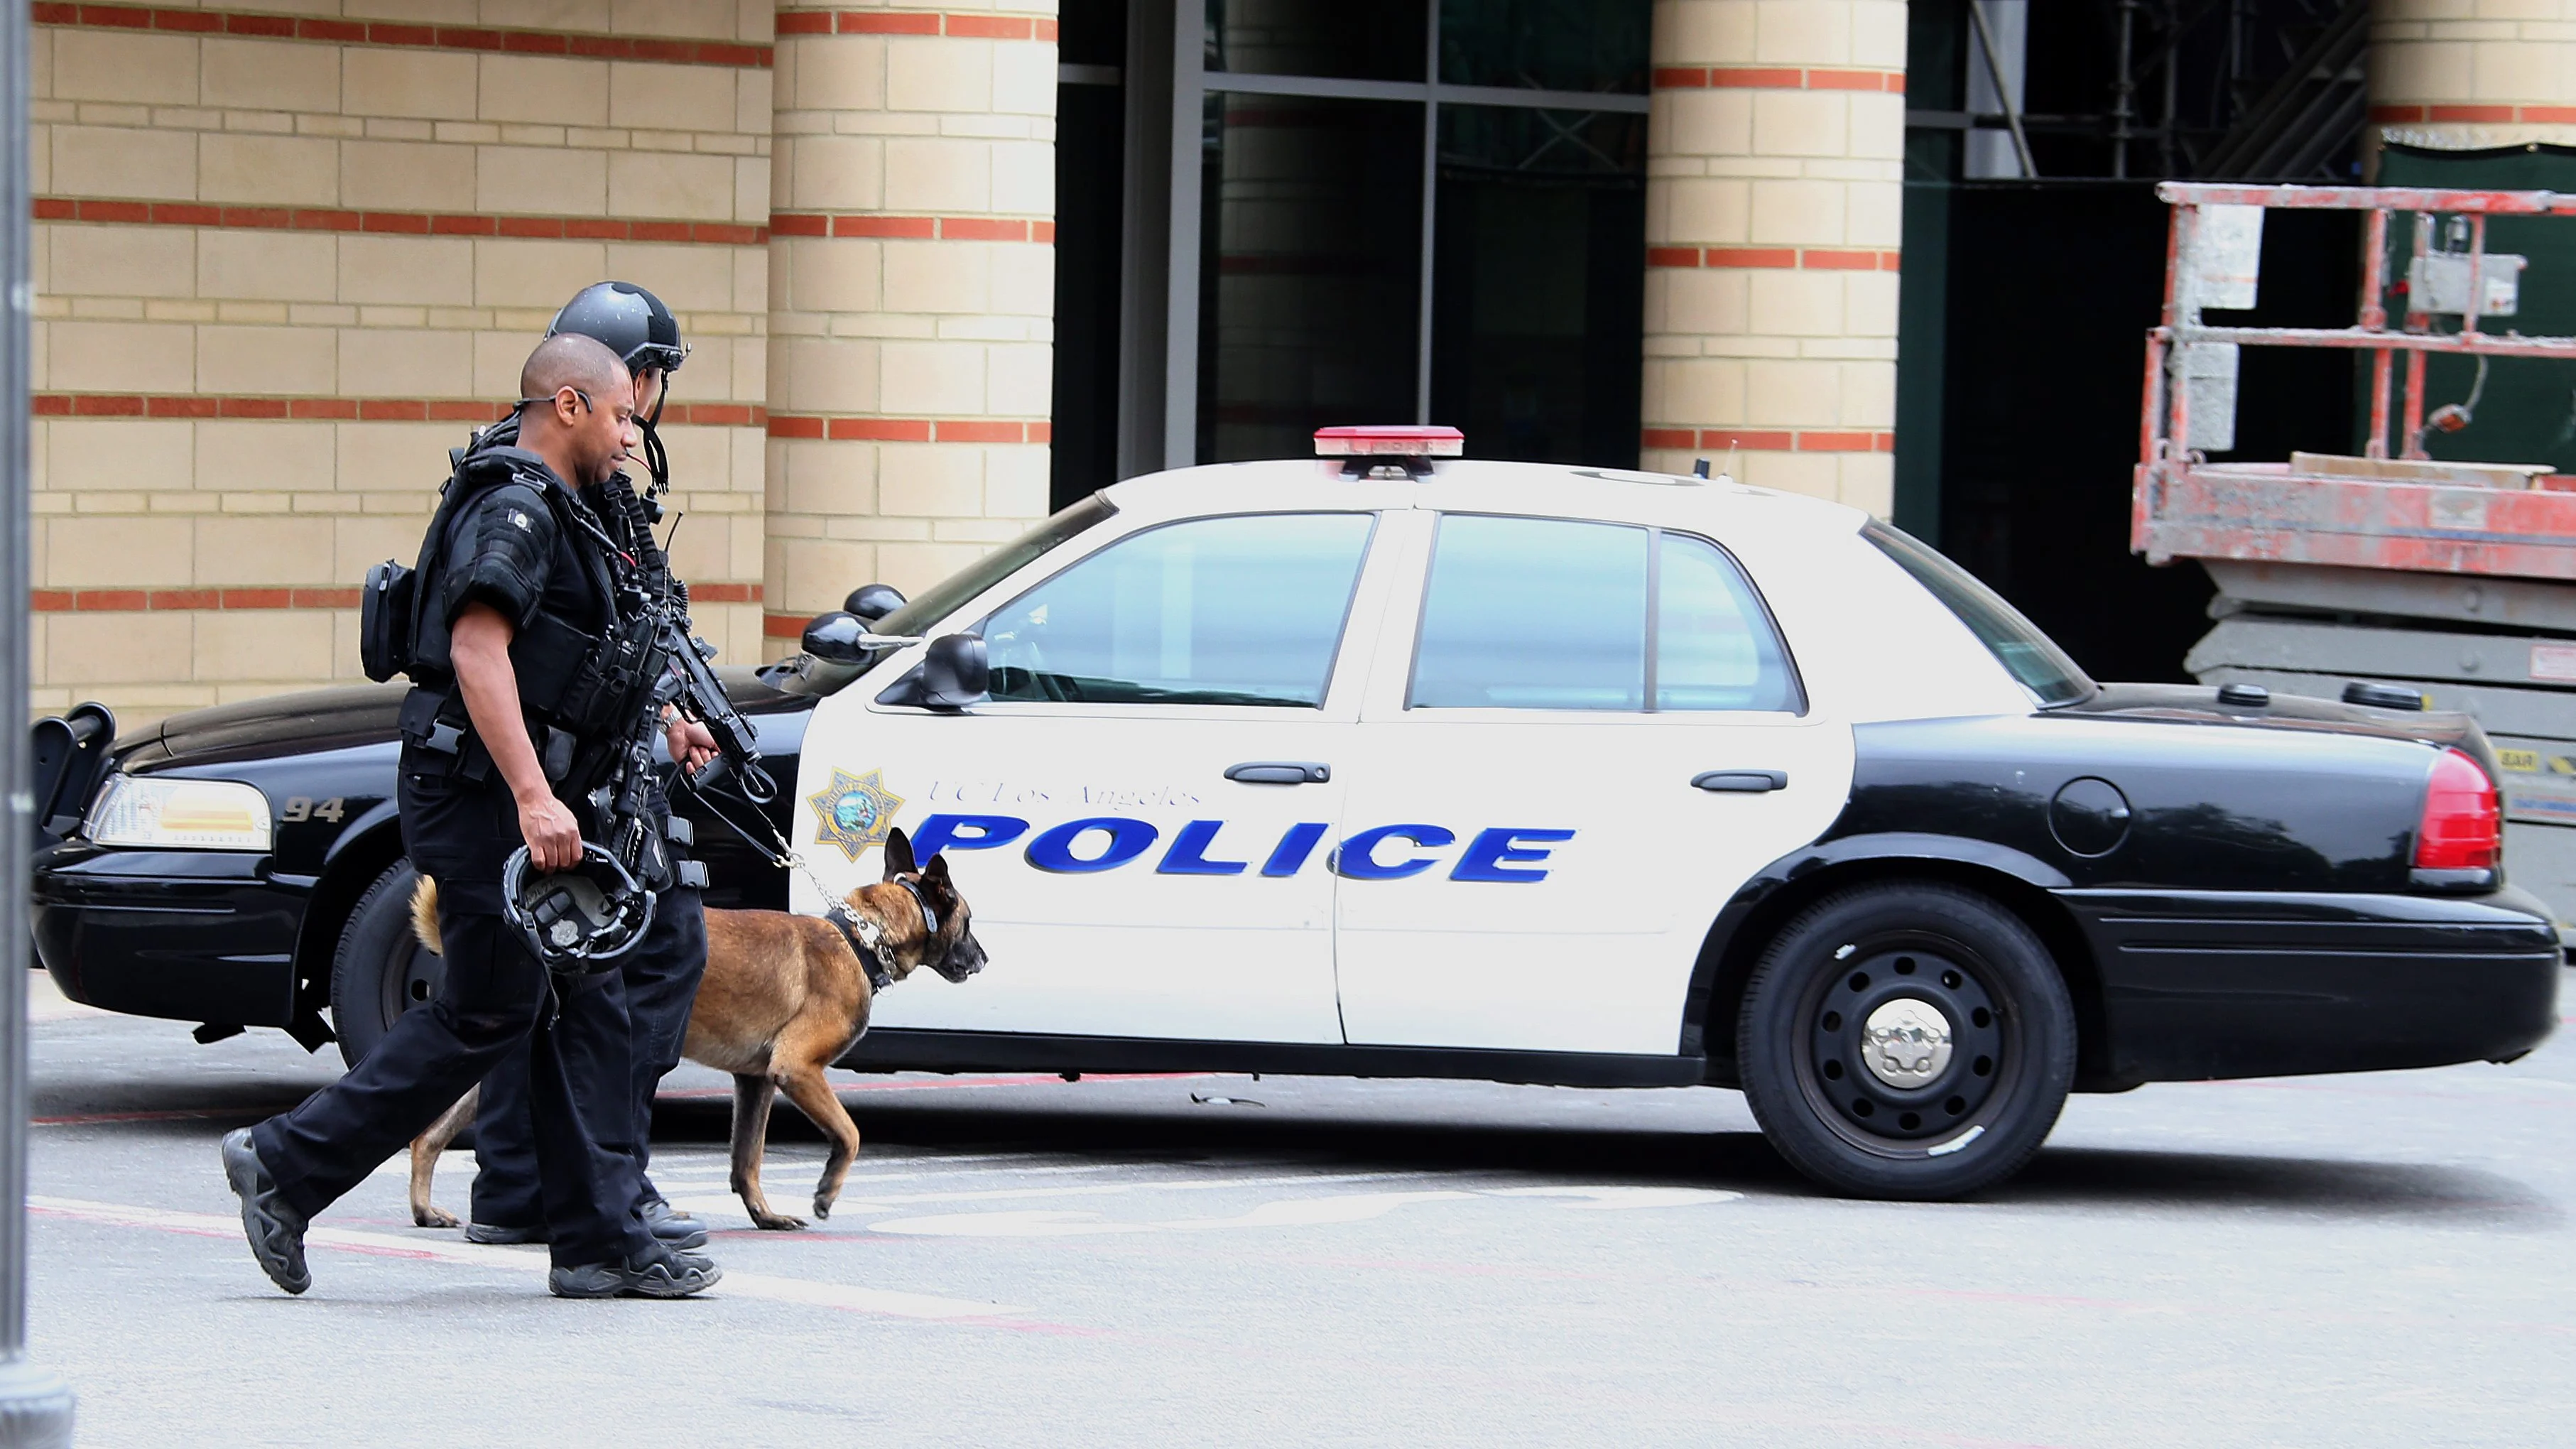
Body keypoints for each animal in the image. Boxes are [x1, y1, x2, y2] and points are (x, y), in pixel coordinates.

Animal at [407, 830, 979, 1222]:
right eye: (968, 921)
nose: (985, 959)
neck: (859, 936)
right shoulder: (797, 1070)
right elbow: (852, 1134)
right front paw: (826, 1191)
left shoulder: (756, 1082)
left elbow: (746, 1161)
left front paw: (765, 1216)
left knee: (427, 1135)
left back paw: (427, 1209)